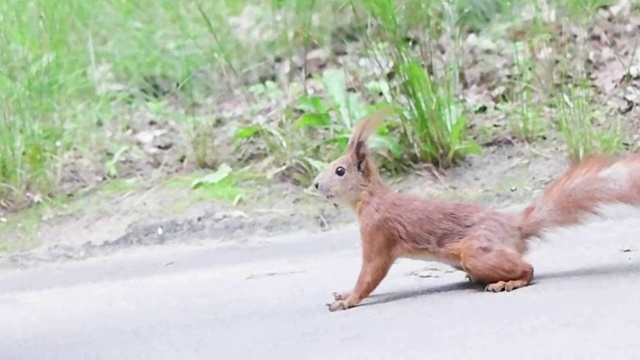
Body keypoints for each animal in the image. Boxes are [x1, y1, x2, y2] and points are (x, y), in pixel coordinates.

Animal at [312, 107, 640, 312]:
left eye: (340, 170)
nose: (316, 184)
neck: (370, 198)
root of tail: (514, 228)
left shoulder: (377, 229)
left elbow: (370, 273)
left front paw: (348, 300)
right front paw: (343, 294)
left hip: (476, 252)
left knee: (529, 268)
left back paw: (508, 282)